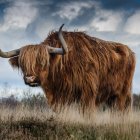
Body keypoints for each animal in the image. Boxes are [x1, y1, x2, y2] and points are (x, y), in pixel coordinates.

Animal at [0, 24, 136, 111]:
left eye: (43, 61)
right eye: (23, 64)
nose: (30, 79)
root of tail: (129, 50)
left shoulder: (88, 94)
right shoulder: (58, 98)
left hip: (123, 94)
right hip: (111, 97)